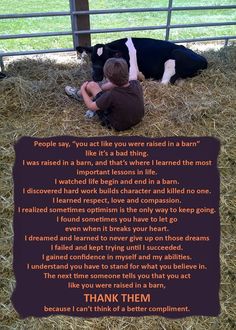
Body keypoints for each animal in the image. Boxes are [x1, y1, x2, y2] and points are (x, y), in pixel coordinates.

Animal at [76, 37, 207, 85]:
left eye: (106, 60)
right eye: (92, 59)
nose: (96, 77)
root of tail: (203, 59)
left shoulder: (131, 73)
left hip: (173, 59)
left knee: (164, 83)